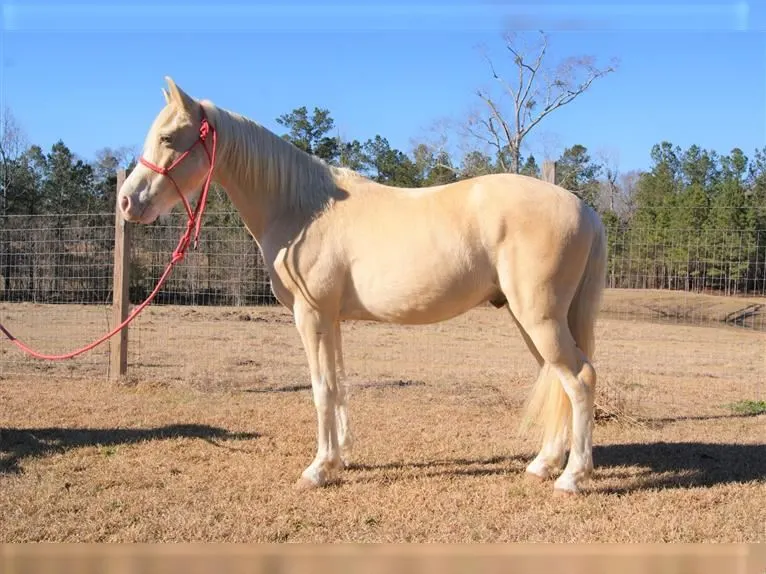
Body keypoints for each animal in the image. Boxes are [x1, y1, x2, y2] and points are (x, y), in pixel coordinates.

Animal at [117, 77, 607, 495]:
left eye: (168, 138)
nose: (127, 201)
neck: (301, 208)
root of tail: (583, 207)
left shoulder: (310, 315)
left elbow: (320, 389)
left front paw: (317, 470)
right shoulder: (330, 319)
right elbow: (337, 385)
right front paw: (339, 460)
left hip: (540, 318)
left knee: (579, 379)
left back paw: (572, 477)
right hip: (534, 322)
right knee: (559, 380)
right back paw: (543, 465)